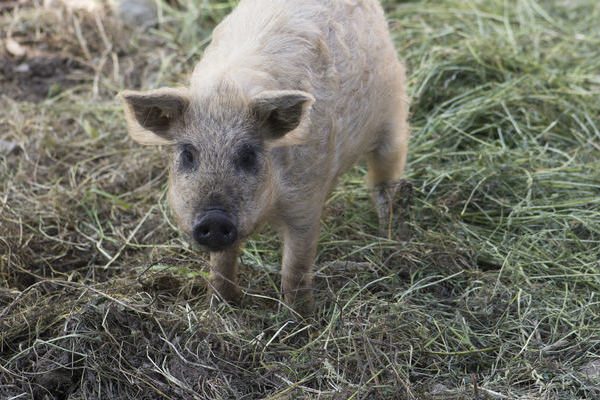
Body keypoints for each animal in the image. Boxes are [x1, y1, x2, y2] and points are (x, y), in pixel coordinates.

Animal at [118, 0, 408, 314]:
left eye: (248, 154)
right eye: (188, 154)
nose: (214, 218)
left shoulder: (305, 201)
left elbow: (296, 266)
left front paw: (300, 316)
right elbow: (222, 261)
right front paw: (222, 305)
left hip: (393, 119)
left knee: (385, 180)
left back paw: (386, 233)